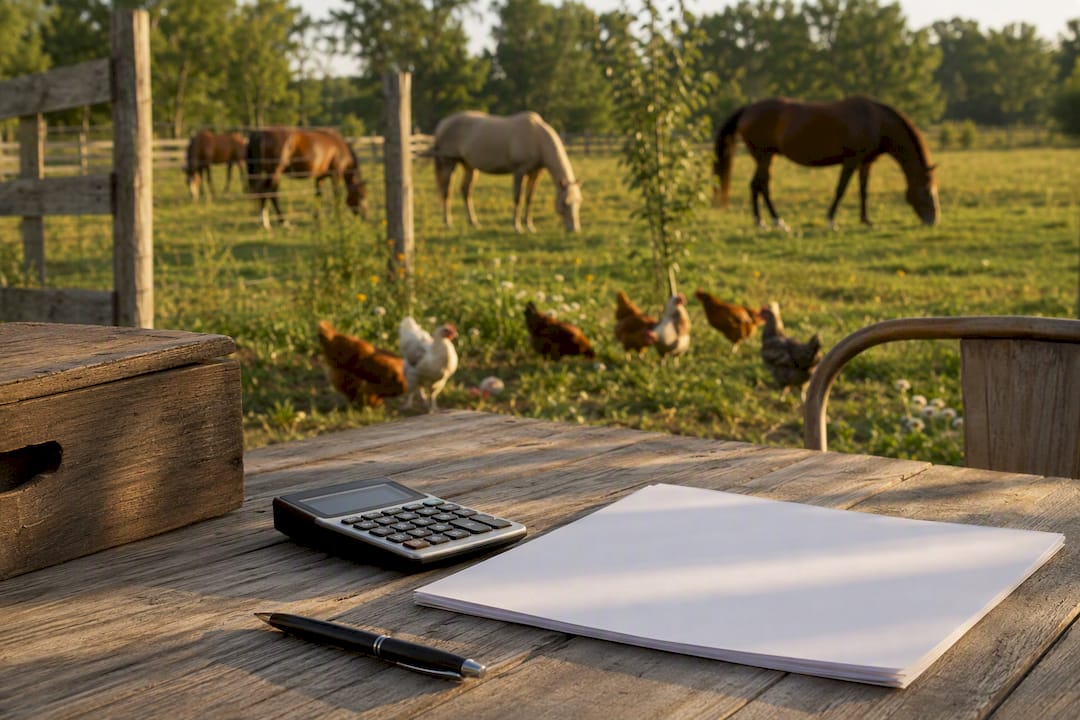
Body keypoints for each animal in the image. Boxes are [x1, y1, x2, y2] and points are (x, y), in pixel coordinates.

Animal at [425, 111, 582, 233]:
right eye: (565, 203)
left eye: (579, 202)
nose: (574, 229)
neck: (537, 138)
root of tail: (443, 123)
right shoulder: (519, 171)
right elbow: (518, 198)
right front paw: (517, 226)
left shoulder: (535, 174)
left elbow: (529, 199)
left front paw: (529, 225)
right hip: (448, 163)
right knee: (447, 192)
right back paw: (448, 223)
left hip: (468, 166)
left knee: (466, 191)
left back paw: (474, 222)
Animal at [713, 96, 939, 230]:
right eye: (927, 192)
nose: (934, 220)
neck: (876, 121)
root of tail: (748, 109)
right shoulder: (851, 160)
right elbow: (841, 189)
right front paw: (831, 221)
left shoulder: (866, 162)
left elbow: (863, 191)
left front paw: (866, 220)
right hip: (764, 156)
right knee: (759, 185)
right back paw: (770, 222)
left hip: (768, 157)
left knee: (760, 185)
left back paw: (768, 221)